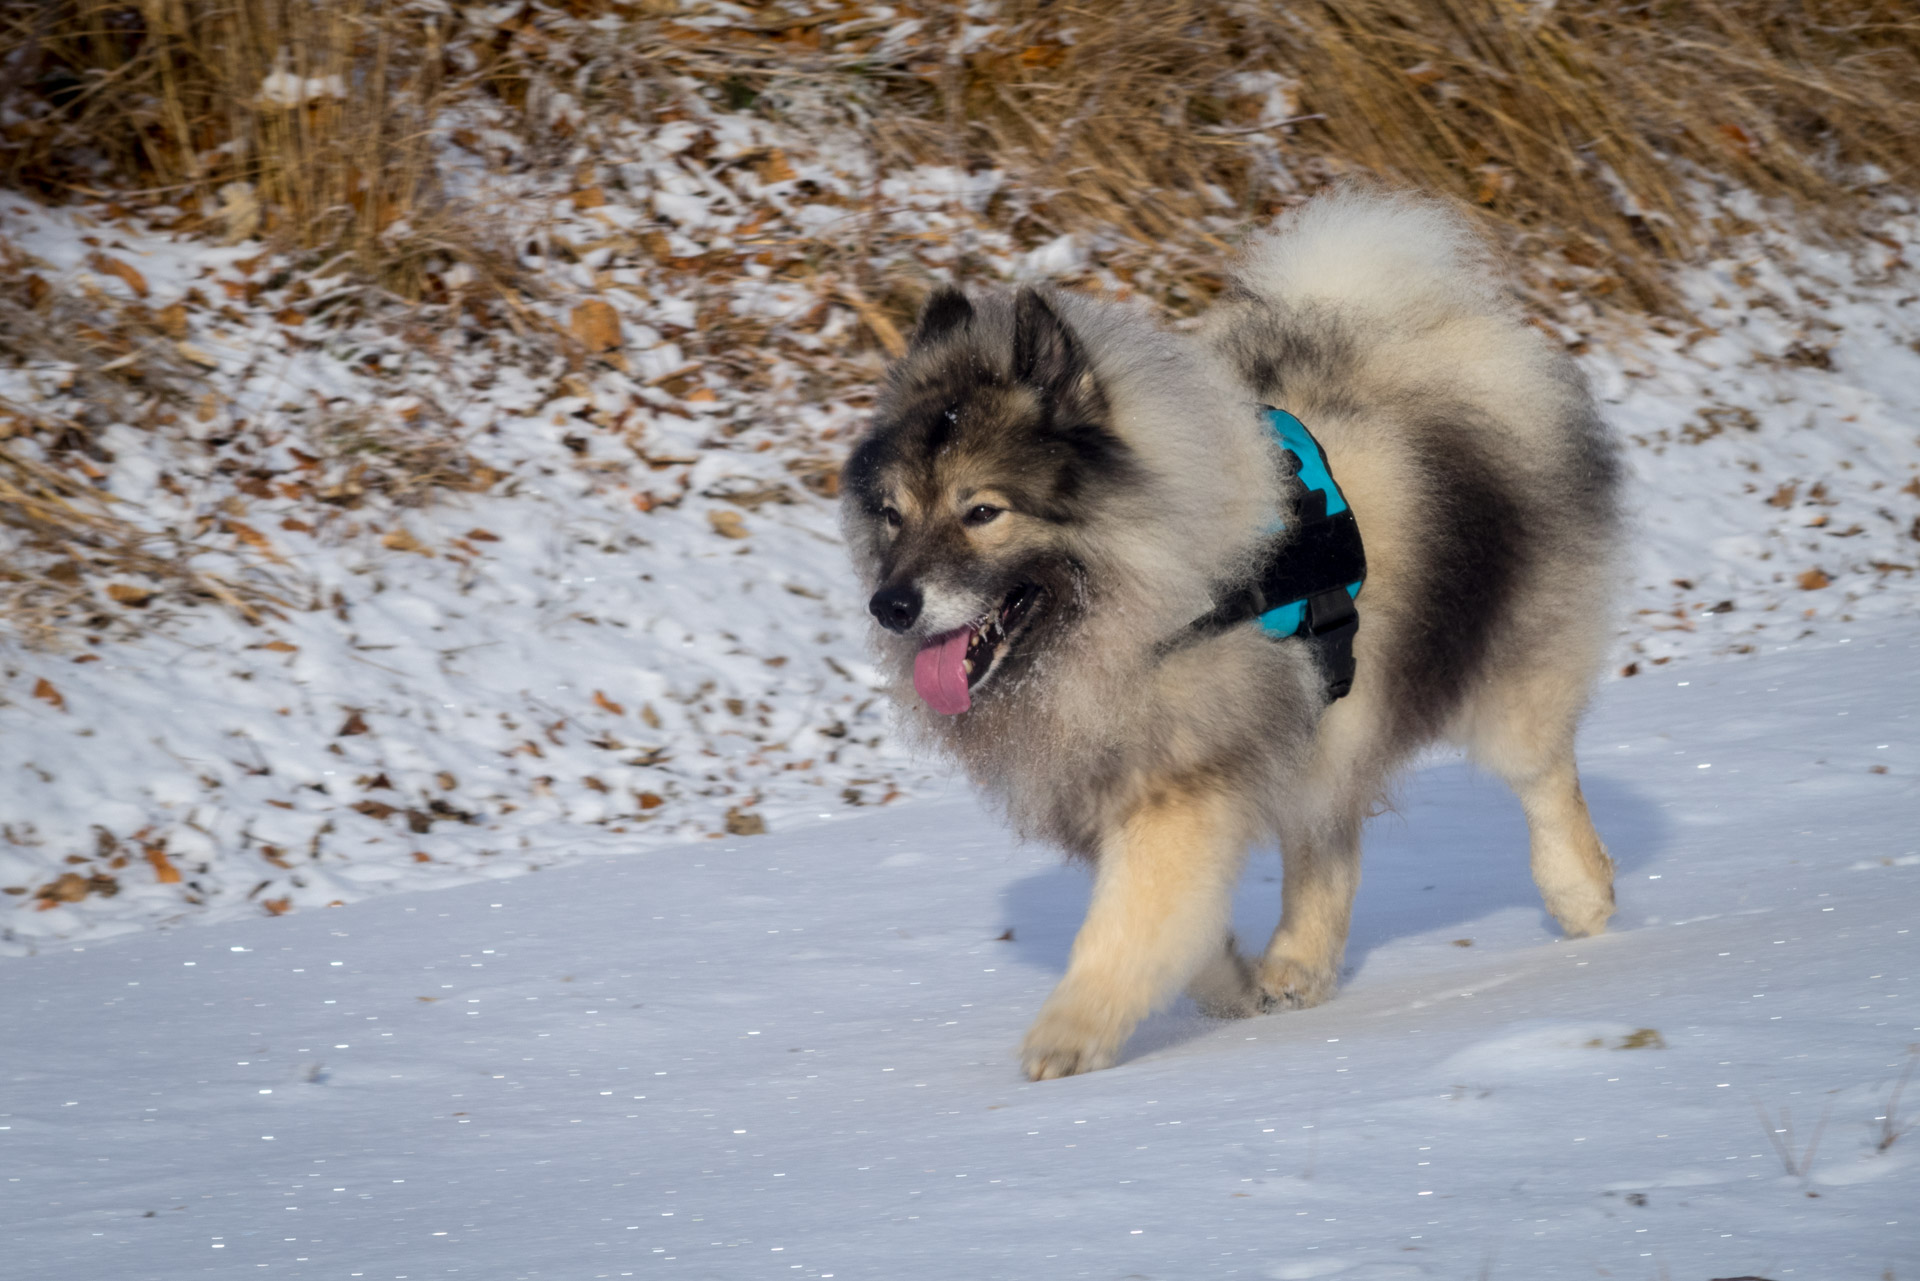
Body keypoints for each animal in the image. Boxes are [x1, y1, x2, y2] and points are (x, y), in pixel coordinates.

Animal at [840, 185, 1620, 1075]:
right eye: (893, 514)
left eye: (981, 512)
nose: (891, 604)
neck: (1152, 584)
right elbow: (1185, 928)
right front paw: (1228, 987)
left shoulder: (1178, 789)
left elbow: (1126, 925)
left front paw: (1070, 1031)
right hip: (1334, 718)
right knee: (1327, 842)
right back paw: (1296, 964)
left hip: (1506, 672)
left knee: (1542, 772)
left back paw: (1582, 891)